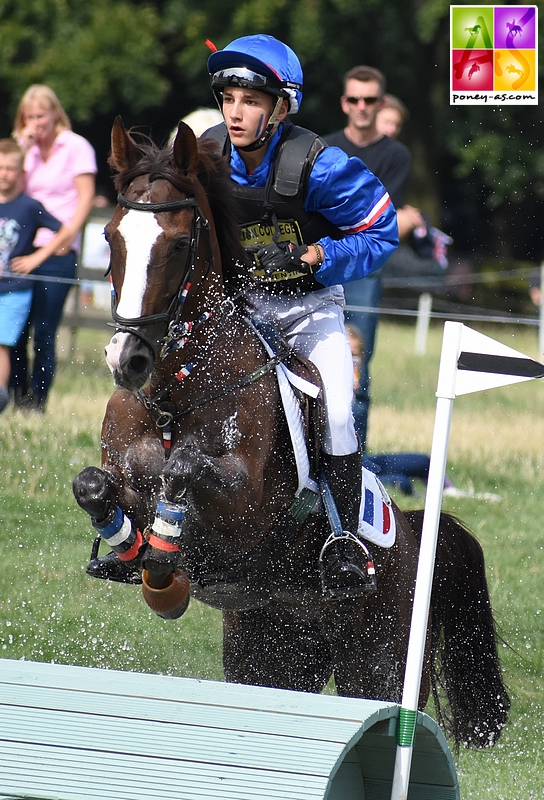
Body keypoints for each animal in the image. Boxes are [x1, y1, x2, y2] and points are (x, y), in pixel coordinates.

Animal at [73, 119, 510, 752]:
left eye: (178, 245)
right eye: (111, 238)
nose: (126, 359)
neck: (178, 391)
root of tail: (410, 529)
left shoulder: (244, 514)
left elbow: (183, 470)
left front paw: (163, 561)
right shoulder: (121, 471)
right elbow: (93, 486)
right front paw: (129, 551)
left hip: (380, 661)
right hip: (271, 655)